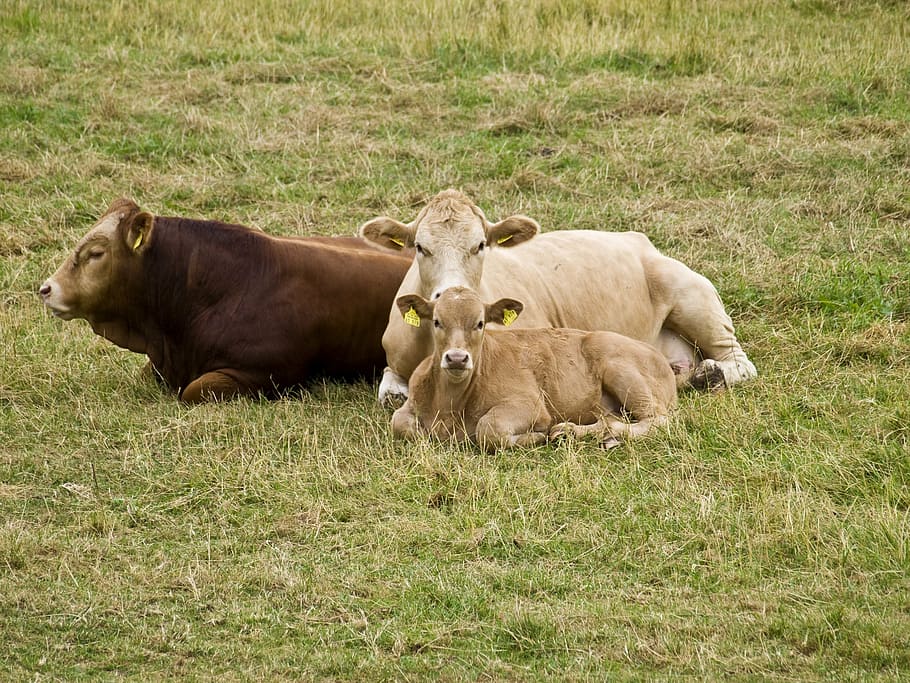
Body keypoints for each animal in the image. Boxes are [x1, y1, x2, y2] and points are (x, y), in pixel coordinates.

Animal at [360, 189, 757, 406]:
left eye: (480, 245)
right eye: (420, 247)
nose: (453, 293)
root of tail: (637, 239)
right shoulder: (393, 359)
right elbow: (392, 391)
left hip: (694, 297)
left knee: (740, 362)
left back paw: (710, 374)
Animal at [390, 287, 677, 450]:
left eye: (480, 323)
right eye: (437, 321)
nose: (457, 358)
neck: (450, 408)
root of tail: (659, 356)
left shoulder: (530, 404)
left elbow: (488, 430)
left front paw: (536, 437)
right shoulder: (411, 403)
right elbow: (400, 423)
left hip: (623, 371)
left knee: (658, 421)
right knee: (613, 419)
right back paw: (573, 433)